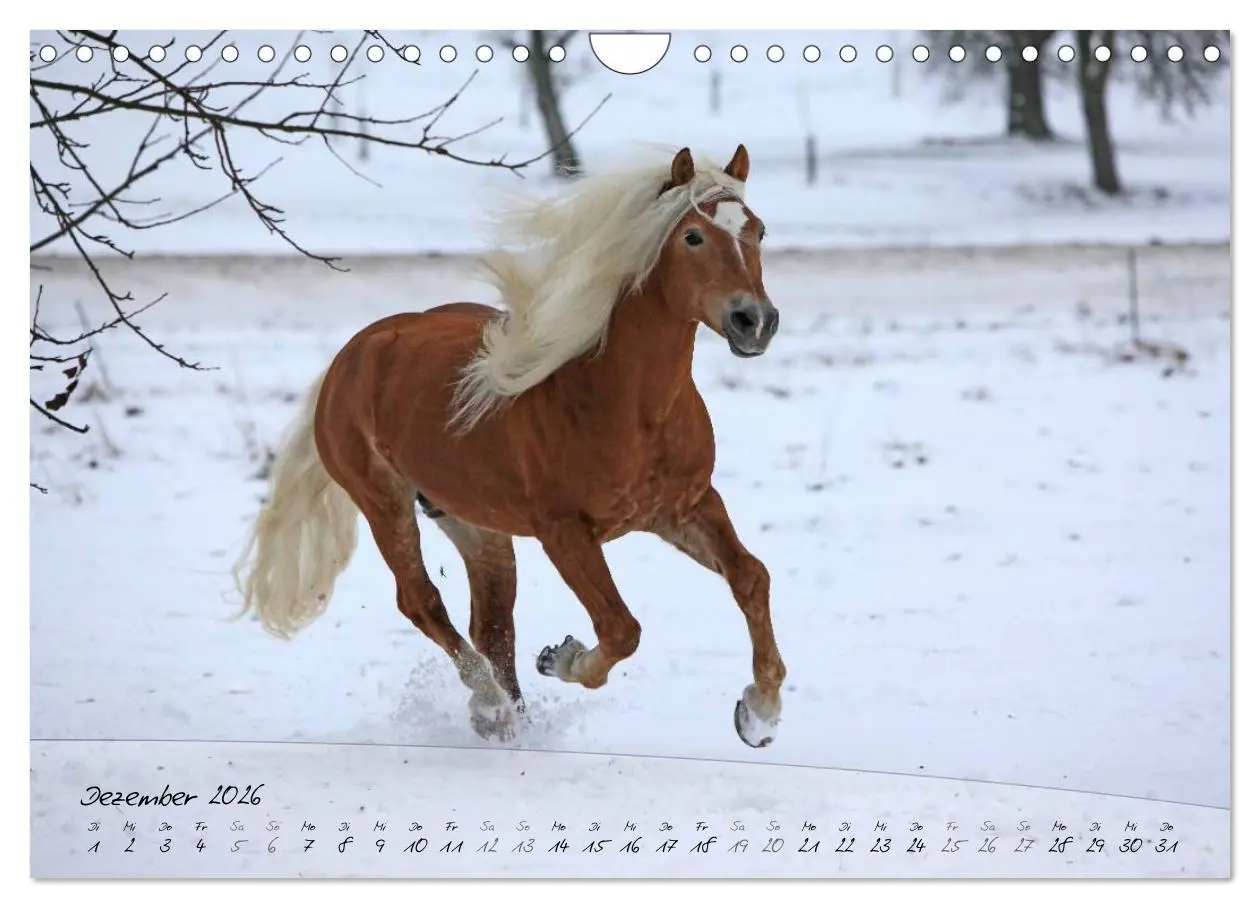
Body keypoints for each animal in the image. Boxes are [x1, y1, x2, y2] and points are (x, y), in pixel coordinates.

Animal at [232, 144, 787, 749]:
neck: (627, 405)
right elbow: (621, 627)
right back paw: (490, 702)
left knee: (492, 625)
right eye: (692, 236)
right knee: (422, 601)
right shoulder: (564, 532)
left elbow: (751, 577)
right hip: (383, 501)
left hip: (476, 525)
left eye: (758, 230)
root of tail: (351, 354)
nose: (754, 321)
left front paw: (759, 713)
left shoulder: (686, 506)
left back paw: (506, 724)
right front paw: (563, 659)